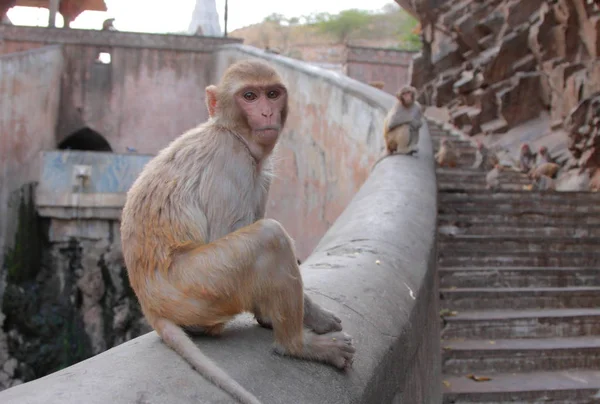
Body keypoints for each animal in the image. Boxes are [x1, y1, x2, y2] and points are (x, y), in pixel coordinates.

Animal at [120, 59, 356, 404]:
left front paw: (312, 313)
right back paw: (297, 346)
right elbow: (228, 230)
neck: (234, 134)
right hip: (199, 288)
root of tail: (151, 307)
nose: (267, 113)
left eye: (272, 94)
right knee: (270, 237)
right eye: (249, 96)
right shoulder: (228, 160)